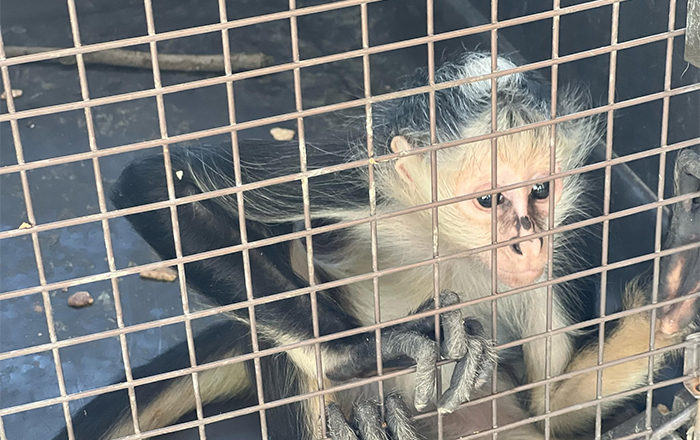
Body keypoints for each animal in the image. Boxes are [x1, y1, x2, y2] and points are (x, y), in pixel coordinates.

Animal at [51, 52, 700, 440]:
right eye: (490, 201)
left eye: (540, 191)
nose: (527, 246)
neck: (440, 244)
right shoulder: (353, 184)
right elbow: (155, 186)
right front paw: (362, 351)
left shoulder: (558, 259)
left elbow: (554, 408)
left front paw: (673, 295)